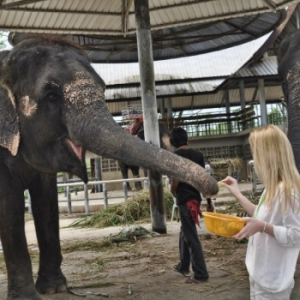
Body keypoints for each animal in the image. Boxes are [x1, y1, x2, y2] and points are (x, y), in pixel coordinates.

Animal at [0, 35, 218, 300]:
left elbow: (46, 201)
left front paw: (54, 288)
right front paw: (28, 297)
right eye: (51, 95)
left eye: (104, 89)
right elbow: (9, 205)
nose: (212, 187)